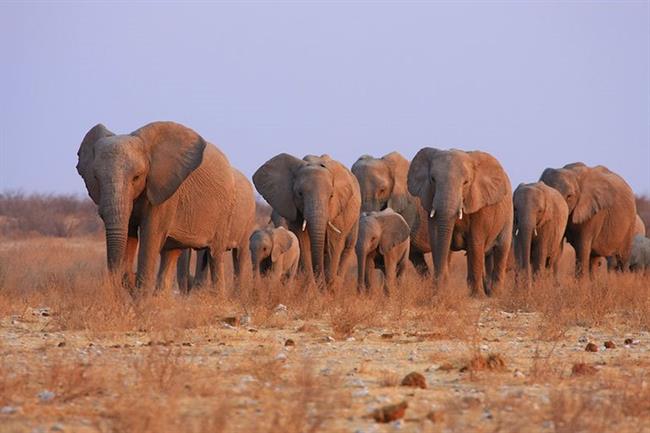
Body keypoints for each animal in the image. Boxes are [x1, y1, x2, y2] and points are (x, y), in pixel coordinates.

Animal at [76, 120, 233, 294]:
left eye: (136, 177)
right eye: (96, 178)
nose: (116, 288)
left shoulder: (165, 192)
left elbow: (150, 235)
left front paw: (140, 298)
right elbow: (130, 235)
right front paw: (130, 280)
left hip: (224, 211)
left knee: (214, 253)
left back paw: (218, 296)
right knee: (171, 253)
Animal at [252, 154, 362, 286]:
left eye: (331, 196)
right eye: (300, 194)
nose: (321, 282)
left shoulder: (339, 208)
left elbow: (334, 242)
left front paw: (328, 286)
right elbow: (302, 238)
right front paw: (310, 285)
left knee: (348, 245)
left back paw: (337, 282)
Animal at [404, 147, 512, 296]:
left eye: (466, 182)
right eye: (432, 179)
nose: (436, 285)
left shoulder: (480, 204)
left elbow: (475, 242)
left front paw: (476, 297)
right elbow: (437, 239)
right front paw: (441, 291)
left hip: (508, 214)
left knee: (501, 250)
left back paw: (495, 295)